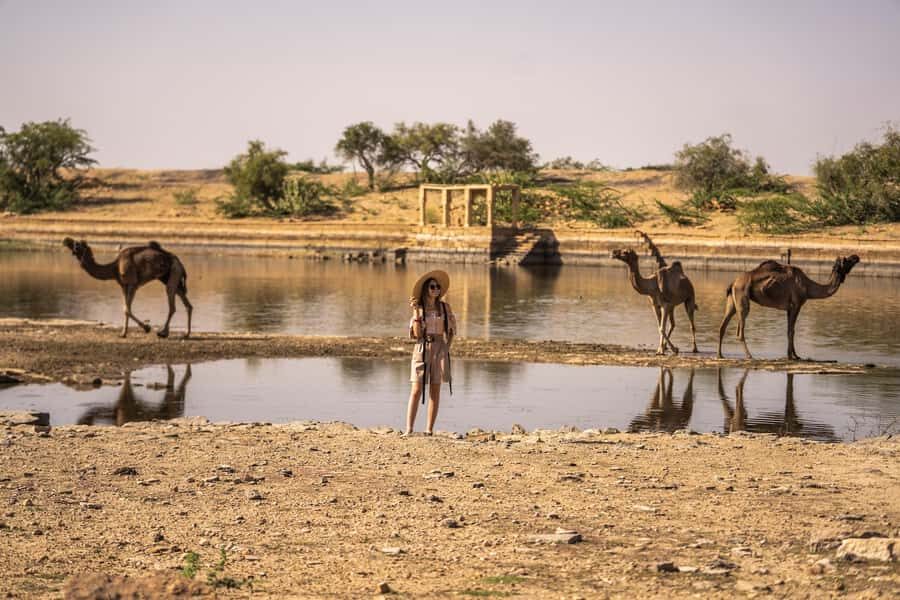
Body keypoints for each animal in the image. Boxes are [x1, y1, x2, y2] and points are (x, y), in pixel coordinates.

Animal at [62, 238, 192, 338]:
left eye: (77, 244)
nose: (65, 240)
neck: (114, 268)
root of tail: (180, 263)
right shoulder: (123, 285)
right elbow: (125, 309)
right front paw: (123, 333)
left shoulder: (132, 284)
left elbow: (127, 309)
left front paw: (147, 328)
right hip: (170, 278)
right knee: (187, 304)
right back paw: (186, 334)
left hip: (174, 272)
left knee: (172, 304)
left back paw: (163, 333)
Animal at [717, 255, 859, 360]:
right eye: (847, 260)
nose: (856, 257)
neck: (808, 288)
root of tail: (733, 282)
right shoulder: (796, 305)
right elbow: (792, 331)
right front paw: (791, 356)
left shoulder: (789, 308)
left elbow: (790, 330)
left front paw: (795, 355)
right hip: (742, 297)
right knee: (740, 331)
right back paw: (749, 356)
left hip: (732, 300)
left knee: (723, 325)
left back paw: (720, 355)